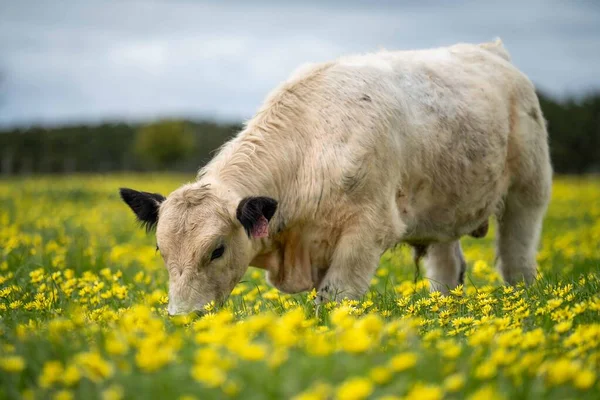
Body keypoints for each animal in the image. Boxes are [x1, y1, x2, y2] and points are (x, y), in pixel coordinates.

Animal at [120, 38, 552, 316]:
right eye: (161, 250)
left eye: (217, 250)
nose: (182, 317)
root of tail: (489, 50)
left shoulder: (367, 231)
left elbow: (334, 300)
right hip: (442, 211)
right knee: (446, 271)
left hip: (528, 191)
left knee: (517, 261)